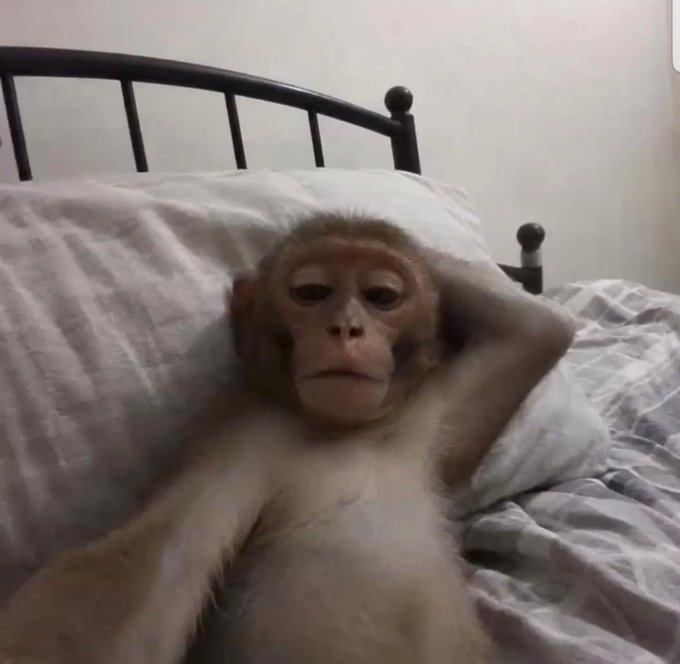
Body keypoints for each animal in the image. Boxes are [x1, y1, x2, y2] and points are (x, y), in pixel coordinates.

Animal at [0, 214, 574, 664]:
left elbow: (541, 328)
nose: (346, 328)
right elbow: (156, 565)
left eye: (382, 297)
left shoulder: (430, 411)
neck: (334, 427)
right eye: (312, 292)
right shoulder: (238, 432)